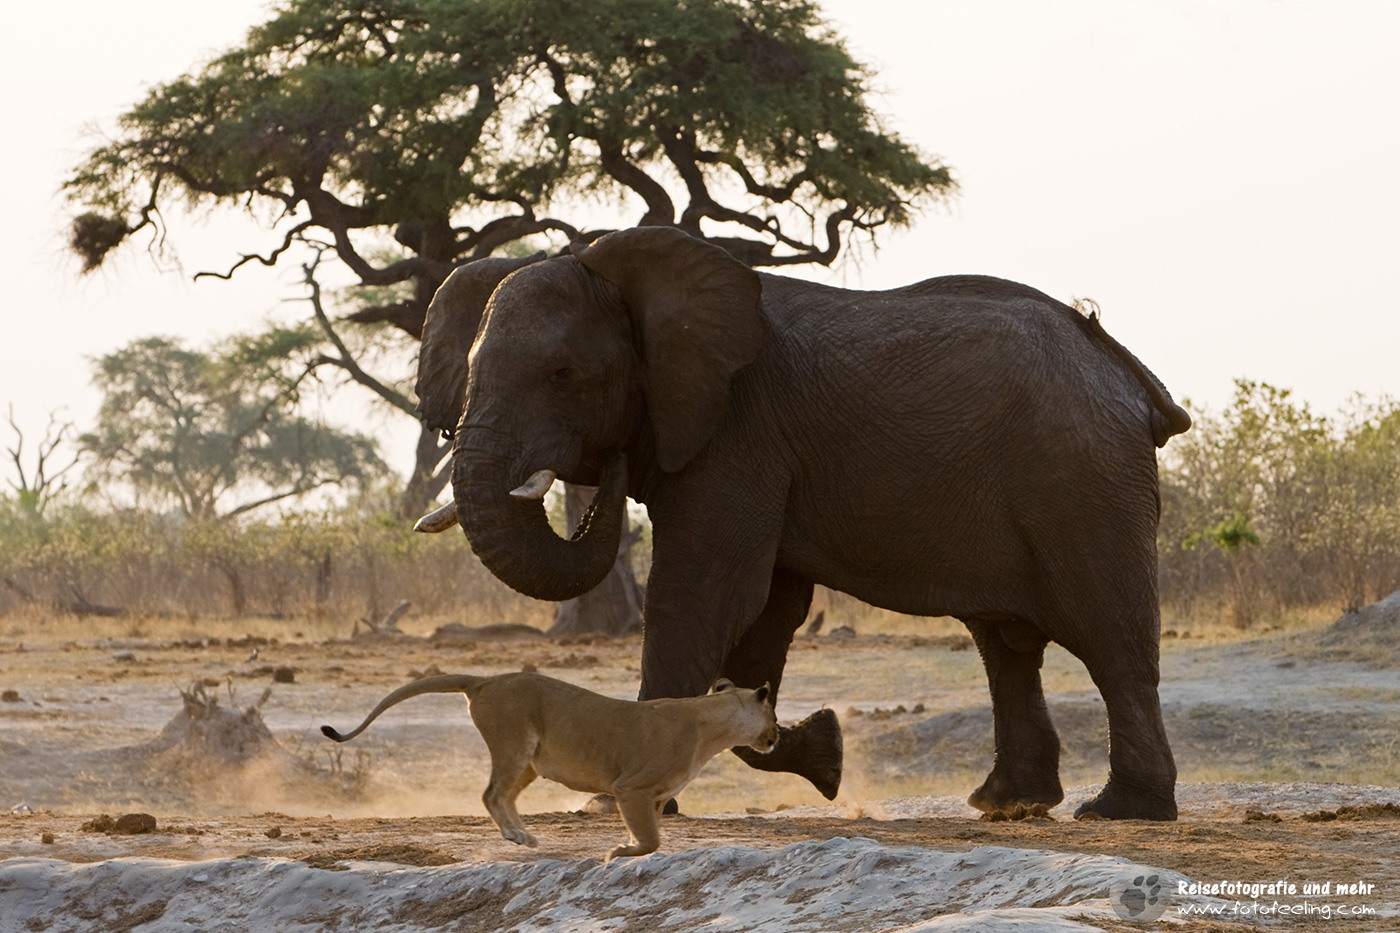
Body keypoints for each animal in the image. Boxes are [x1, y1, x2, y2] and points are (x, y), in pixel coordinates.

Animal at [321, 672, 777, 860]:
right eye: (773, 717)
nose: (776, 737)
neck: (712, 724)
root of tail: (485, 680)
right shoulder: (632, 788)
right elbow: (650, 841)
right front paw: (617, 852)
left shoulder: (653, 797)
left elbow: (651, 835)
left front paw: (622, 847)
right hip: (513, 745)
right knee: (491, 793)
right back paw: (516, 837)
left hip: (530, 761)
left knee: (503, 795)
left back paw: (524, 835)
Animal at [413, 226, 1191, 821]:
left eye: (563, 375)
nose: (605, 466)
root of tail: (1134, 380)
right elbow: (763, 618)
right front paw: (824, 751)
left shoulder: (740, 432)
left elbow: (705, 595)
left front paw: (610, 803)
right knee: (1005, 647)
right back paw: (1007, 804)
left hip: (1082, 482)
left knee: (1109, 638)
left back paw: (1120, 810)